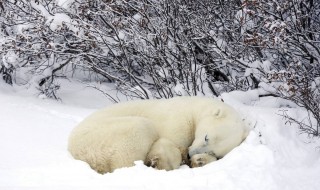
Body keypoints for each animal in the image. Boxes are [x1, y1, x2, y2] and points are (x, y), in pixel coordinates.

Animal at [67, 97, 248, 173]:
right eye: (206, 137)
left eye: (213, 150)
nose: (191, 154)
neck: (194, 109)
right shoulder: (178, 122)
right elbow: (168, 144)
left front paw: (200, 161)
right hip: (103, 136)